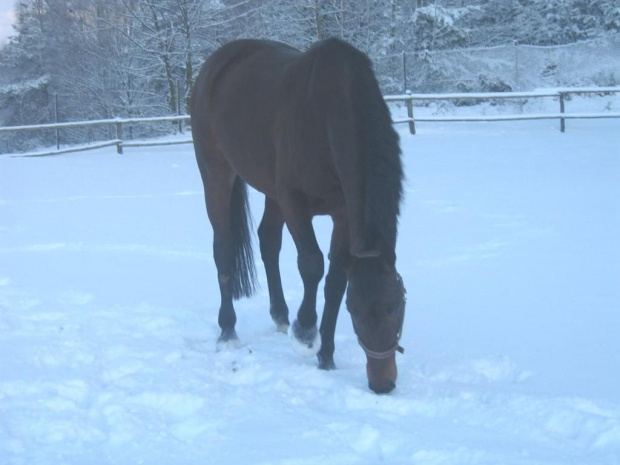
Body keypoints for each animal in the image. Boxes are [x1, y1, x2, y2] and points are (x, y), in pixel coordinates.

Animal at [191, 38, 410, 392]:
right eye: (355, 311)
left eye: (396, 306)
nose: (382, 384)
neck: (327, 114)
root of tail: (219, 60)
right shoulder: (294, 201)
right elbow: (312, 264)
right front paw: (307, 334)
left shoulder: (342, 214)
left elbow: (334, 280)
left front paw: (327, 355)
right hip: (217, 174)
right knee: (223, 248)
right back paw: (228, 331)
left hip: (270, 191)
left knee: (268, 241)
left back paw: (280, 316)